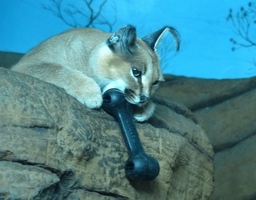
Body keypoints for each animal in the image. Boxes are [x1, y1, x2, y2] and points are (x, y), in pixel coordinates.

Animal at [12, 24, 180, 121]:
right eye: (136, 72)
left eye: (156, 82)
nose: (143, 98)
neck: (89, 56)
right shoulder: (25, 65)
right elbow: (55, 68)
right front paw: (90, 92)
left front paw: (145, 109)